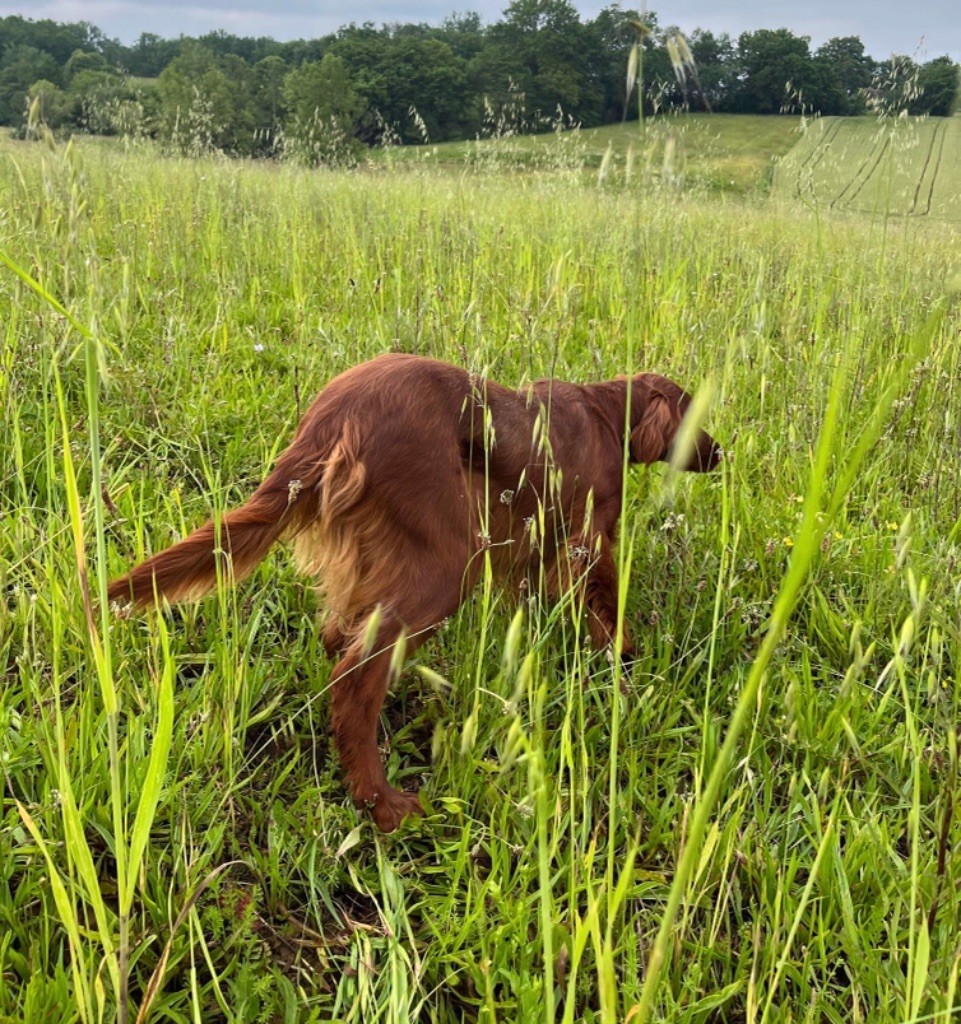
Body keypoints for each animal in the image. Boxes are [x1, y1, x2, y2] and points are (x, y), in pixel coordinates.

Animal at [106, 356, 721, 827]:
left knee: (338, 638)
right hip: (447, 564)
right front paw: (621, 659)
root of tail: (333, 418)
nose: (722, 453)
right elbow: (605, 607)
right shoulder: (588, 541)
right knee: (354, 675)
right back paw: (381, 802)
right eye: (694, 416)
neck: (607, 415)